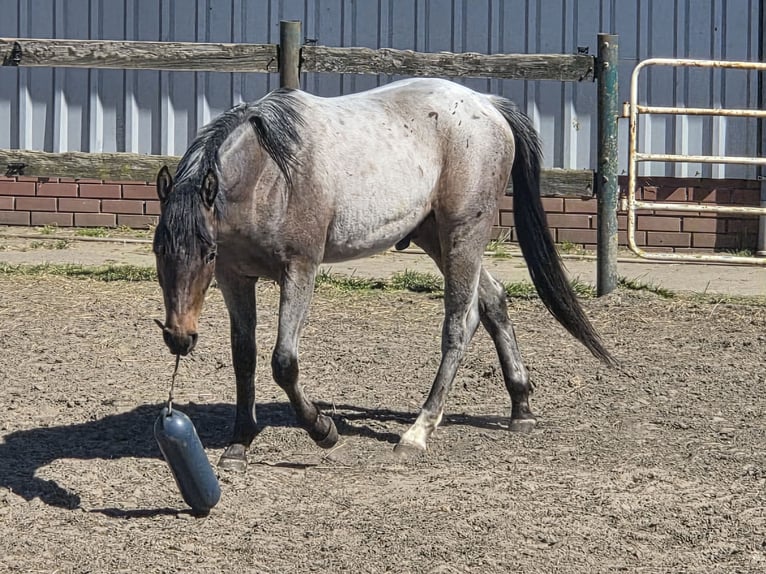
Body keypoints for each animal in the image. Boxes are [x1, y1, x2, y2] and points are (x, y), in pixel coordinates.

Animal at [152, 77, 614, 471]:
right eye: (160, 250)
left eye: (207, 252)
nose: (179, 337)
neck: (269, 172)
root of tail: (487, 105)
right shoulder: (235, 278)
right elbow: (244, 358)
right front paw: (239, 444)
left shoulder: (299, 270)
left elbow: (283, 362)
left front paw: (323, 430)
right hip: (435, 237)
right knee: (493, 299)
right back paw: (521, 408)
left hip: (464, 233)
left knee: (459, 324)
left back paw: (417, 433)